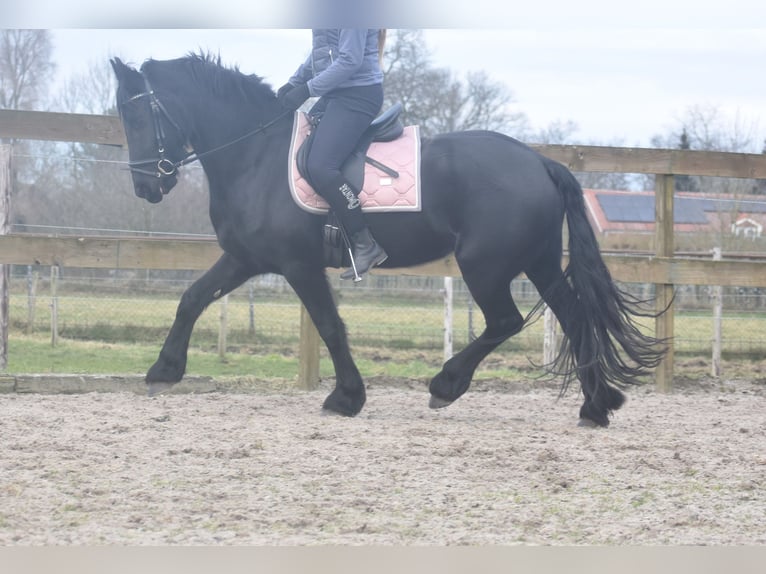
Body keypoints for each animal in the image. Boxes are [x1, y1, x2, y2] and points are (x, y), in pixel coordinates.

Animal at [109, 54, 664, 428]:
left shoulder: (298, 265)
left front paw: (346, 398)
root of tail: (540, 161)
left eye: (135, 116)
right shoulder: (246, 257)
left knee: (505, 321)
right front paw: (163, 370)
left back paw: (446, 385)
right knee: (573, 316)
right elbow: (192, 298)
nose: (146, 187)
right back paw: (596, 405)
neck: (255, 155)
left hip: (484, 264)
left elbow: (330, 326)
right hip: (539, 261)